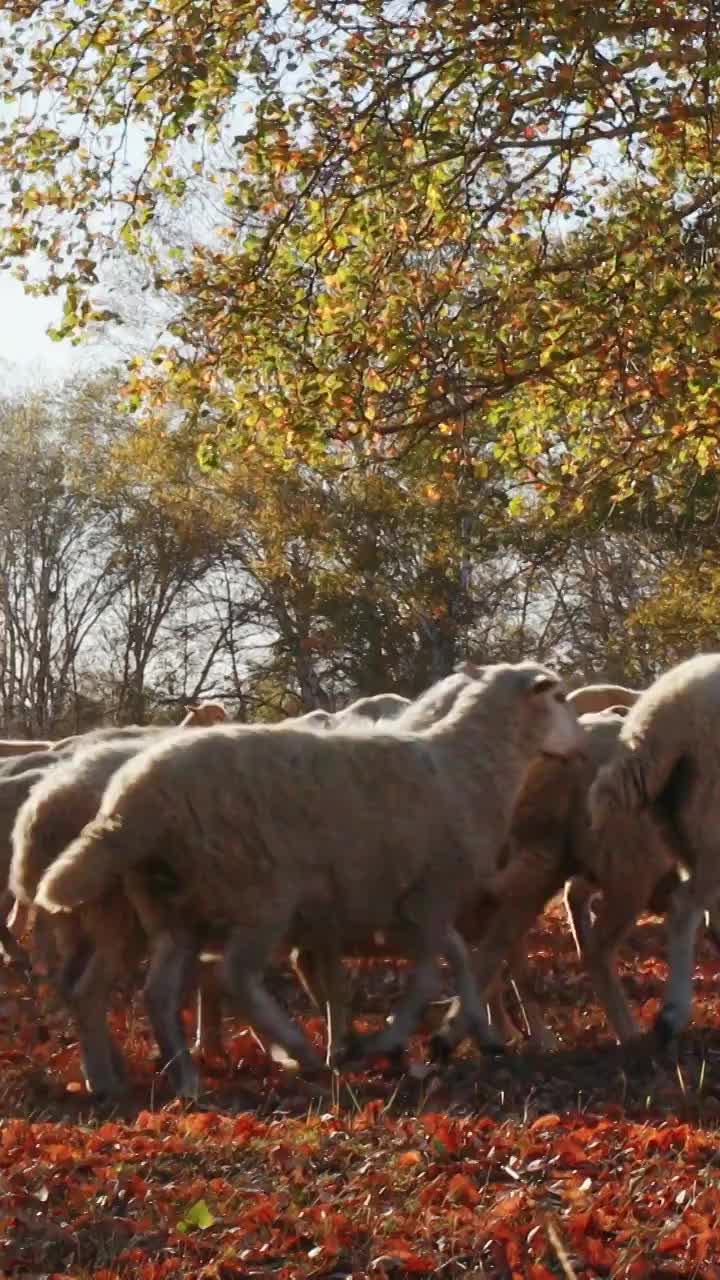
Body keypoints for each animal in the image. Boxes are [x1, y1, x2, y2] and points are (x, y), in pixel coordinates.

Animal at [35, 665, 584, 1095]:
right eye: (558, 697)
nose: (578, 745)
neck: (468, 766)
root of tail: (132, 800)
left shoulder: (415, 903)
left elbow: (459, 961)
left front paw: (468, 1034)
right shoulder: (430, 894)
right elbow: (434, 972)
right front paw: (389, 1040)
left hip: (174, 906)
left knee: (156, 991)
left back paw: (177, 1078)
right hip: (257, 894)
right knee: (234, 975)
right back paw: (297, 1051)